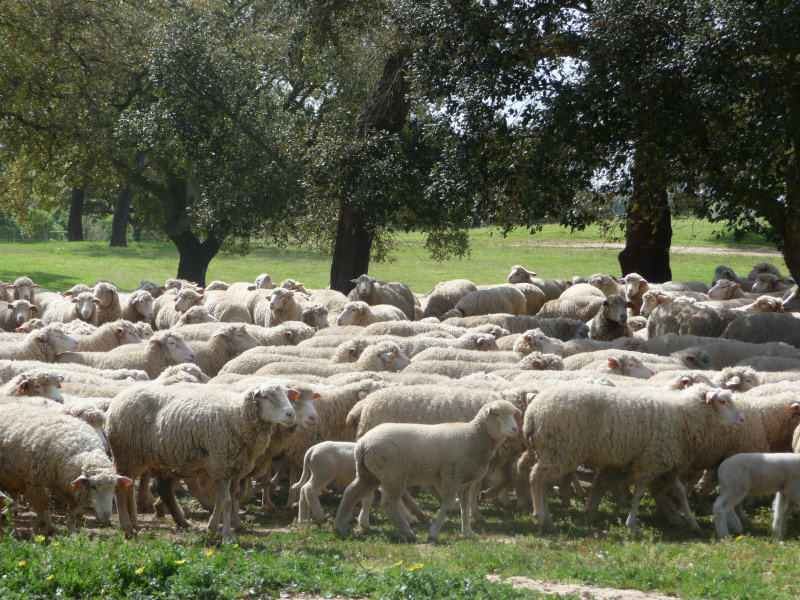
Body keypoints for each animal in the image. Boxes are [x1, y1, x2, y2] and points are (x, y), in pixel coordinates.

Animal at [0, 404, 131, 536]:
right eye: (93, 486)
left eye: (114, 487)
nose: (107, 514)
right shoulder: (37, 489)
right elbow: (43, 514)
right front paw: (43, 531)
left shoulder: (71, 494)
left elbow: (71, 518)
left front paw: (71, 535)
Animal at [332, 400, 520, 540]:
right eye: (498, 415)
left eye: (513, 415)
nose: (515, 429)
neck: (473, 437)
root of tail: (362, 444)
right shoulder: (451, 476)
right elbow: (448, 505)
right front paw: (434, 533)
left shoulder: (465, 481)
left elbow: (465, 507)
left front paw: (468, 532)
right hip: (392, 473)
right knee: (388, 503)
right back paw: (408, 533)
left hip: (370, 474)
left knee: (350, 493)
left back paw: (340, 527)